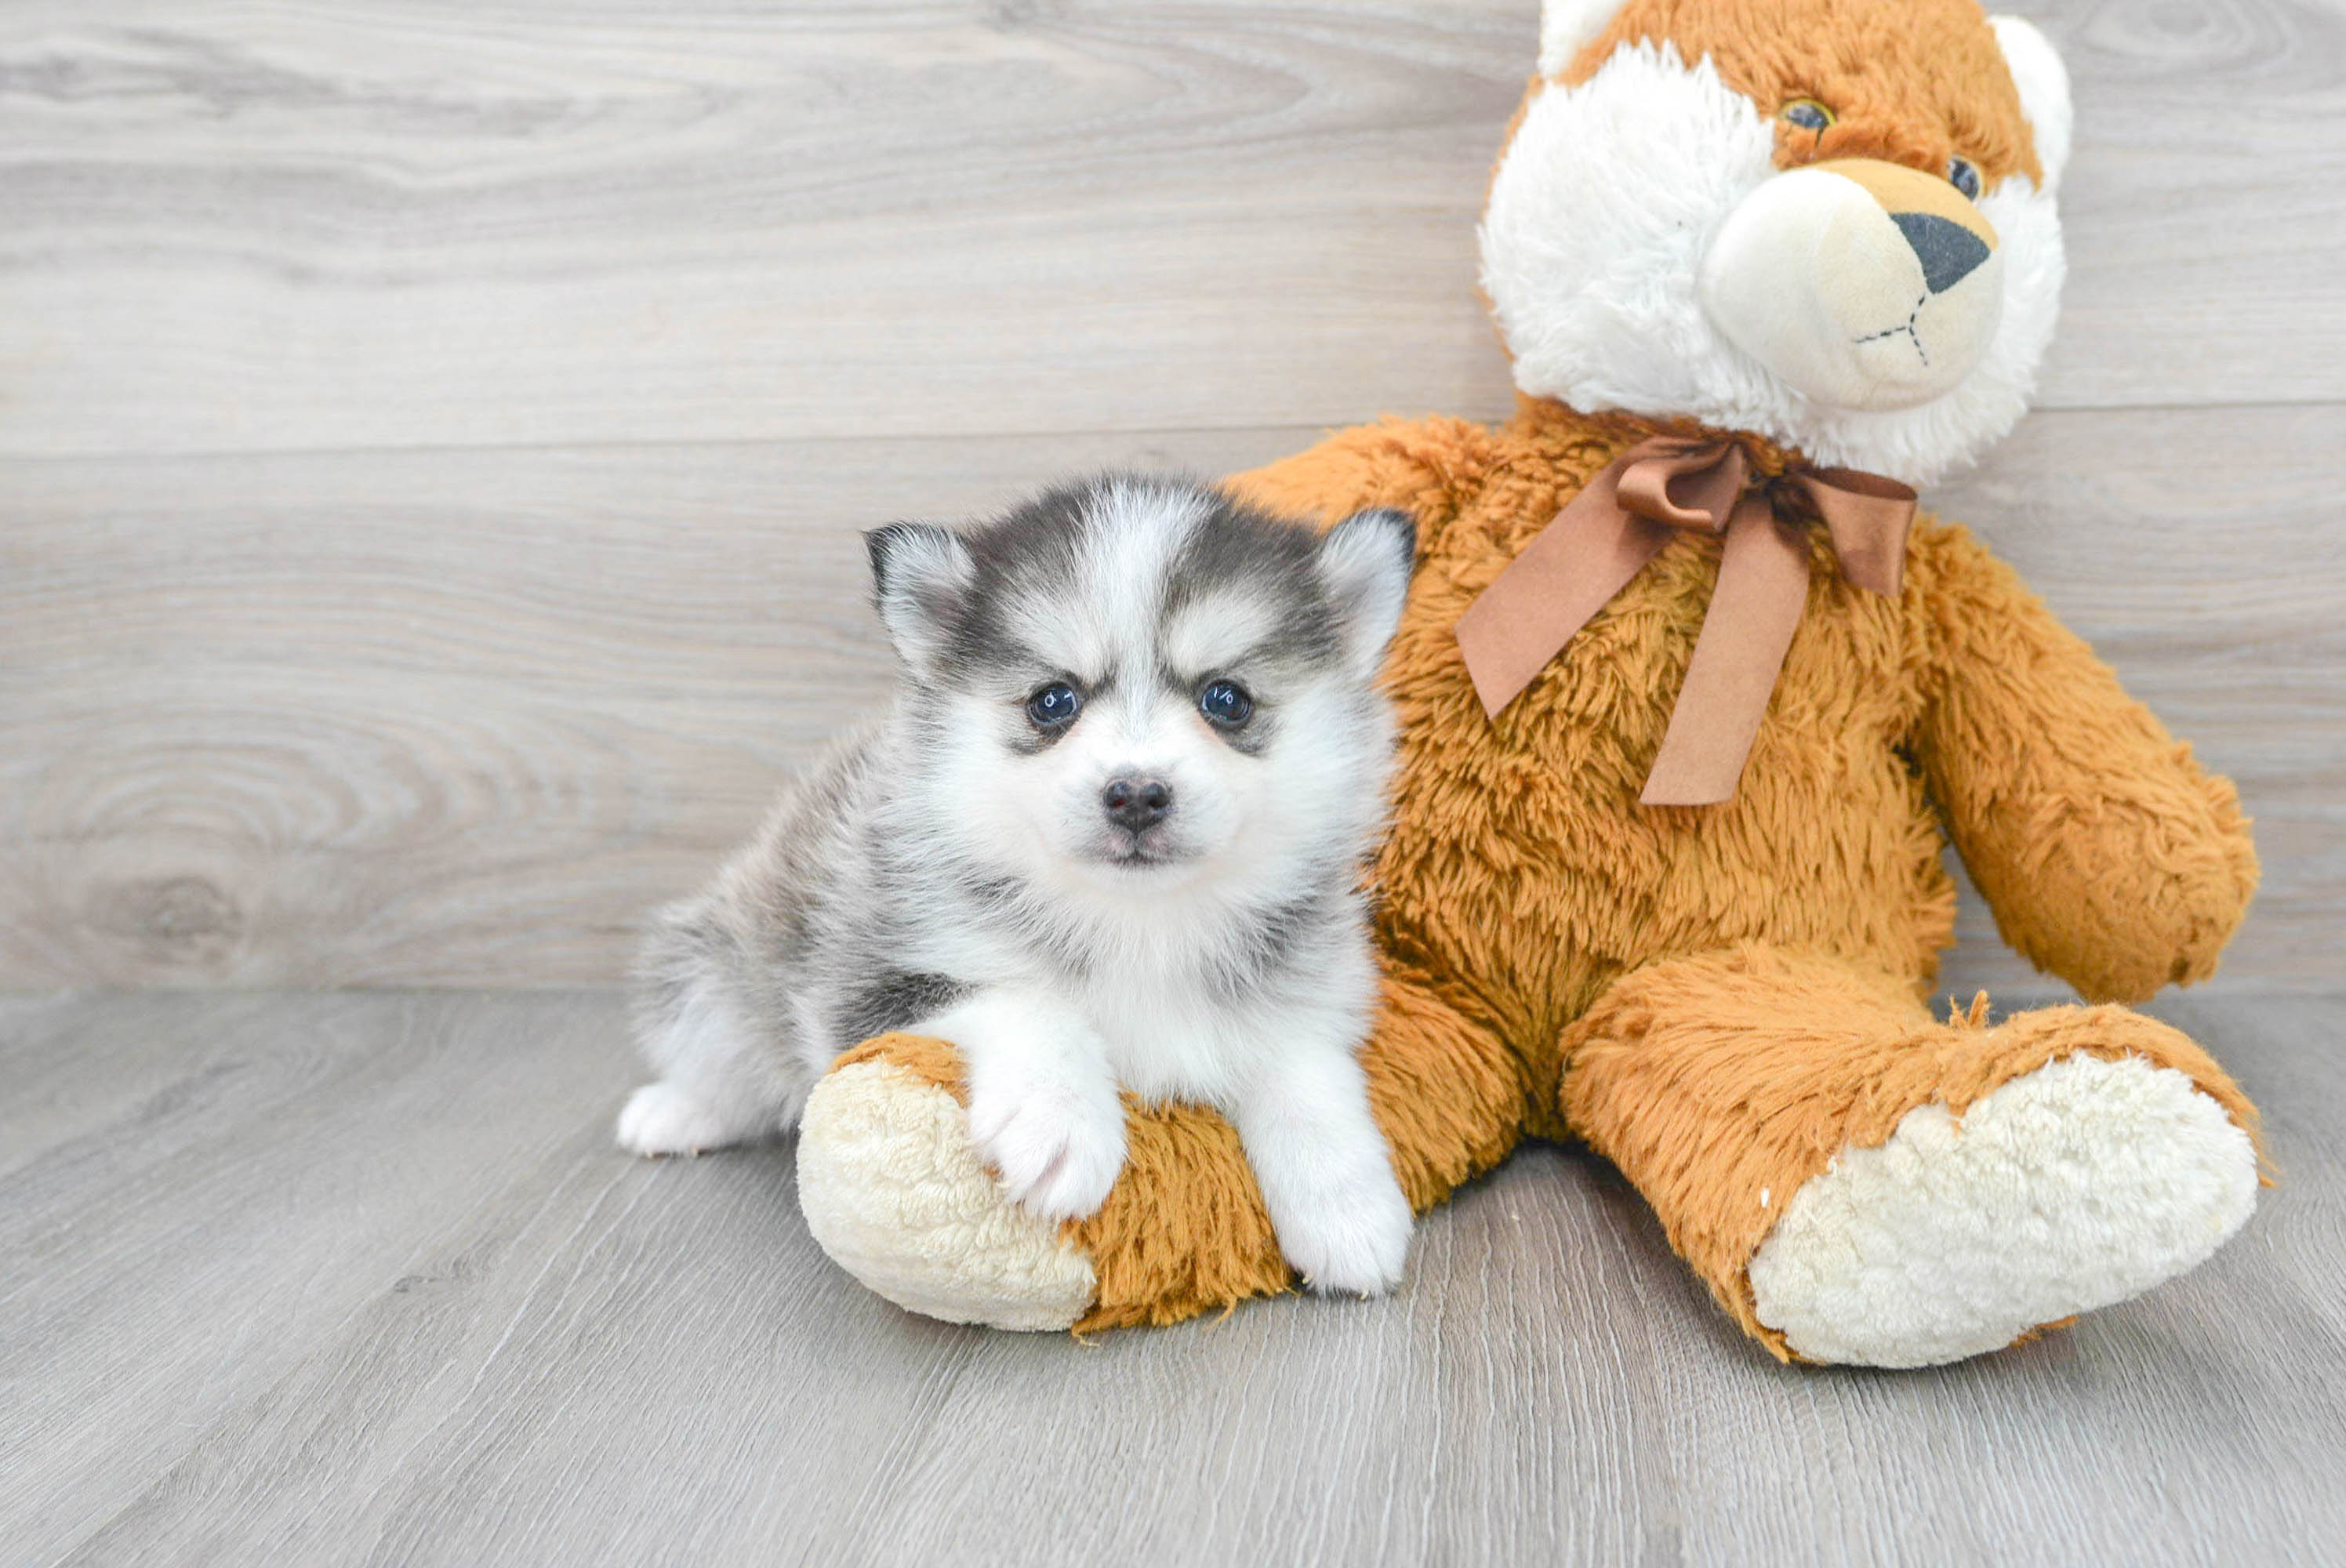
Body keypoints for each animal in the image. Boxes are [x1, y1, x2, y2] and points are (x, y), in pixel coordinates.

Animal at [619, 471, 1407, 1295]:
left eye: (1227, 699)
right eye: (1052, 701)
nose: (1135, 794)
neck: (1138, 923)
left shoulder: (1309, 989)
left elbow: (1305, 1070)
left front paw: (1349, 1209)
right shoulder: (865, 982)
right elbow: (1028, 1002)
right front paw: (1061, 1120)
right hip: (715, 970)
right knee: (722, 1053)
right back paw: (674, 1112)